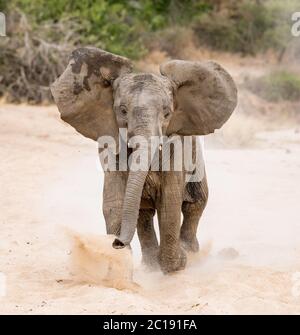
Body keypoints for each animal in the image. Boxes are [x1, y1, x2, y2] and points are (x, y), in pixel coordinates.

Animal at [51, 46, 237, 272]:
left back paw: (191, 254)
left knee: (195, 203)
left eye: (167, 114)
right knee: (144, 213)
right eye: (122, 111)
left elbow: (170, 203)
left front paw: (178, 263)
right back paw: (151, 264)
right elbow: (115, 202)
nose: (117, 242)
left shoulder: (176, 148)